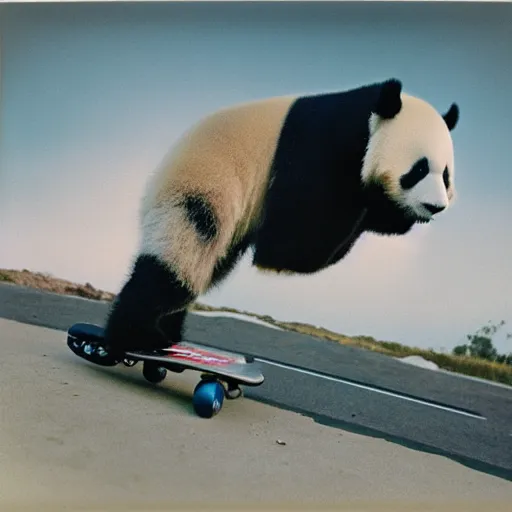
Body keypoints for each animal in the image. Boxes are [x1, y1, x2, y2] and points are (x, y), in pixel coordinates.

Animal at [84, 77, 460, 364]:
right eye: (419, 169)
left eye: (446, 175)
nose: (435, 207)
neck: (369, 122)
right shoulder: (318, 149)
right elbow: (294, 245)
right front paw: (382, 203)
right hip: (200, 190)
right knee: (174, 265)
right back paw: (138, 335)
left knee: (203, 269)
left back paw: (168, 334)